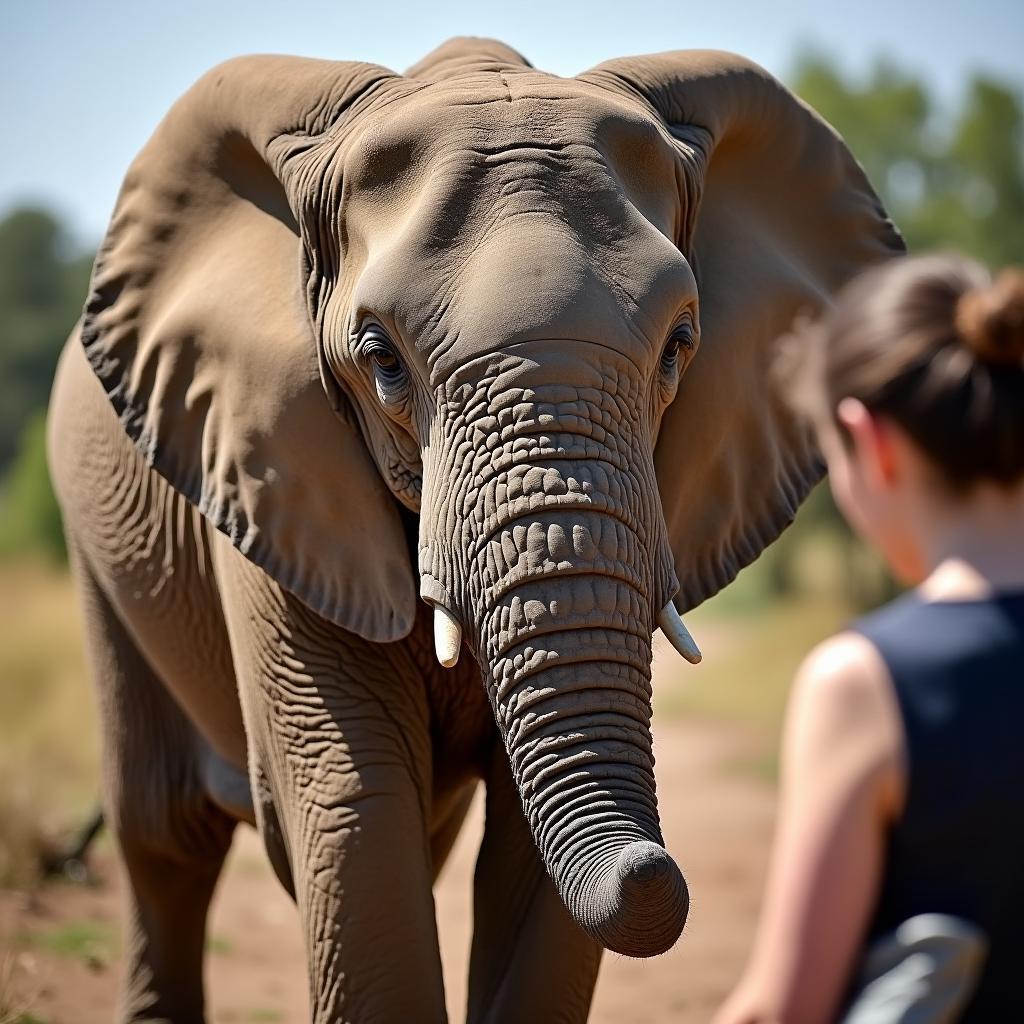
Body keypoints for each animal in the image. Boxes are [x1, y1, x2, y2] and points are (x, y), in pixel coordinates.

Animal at [46, 36, 897, 1019]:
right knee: (164, 839)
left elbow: (525, 852)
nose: (655, 870)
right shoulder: (268, 459)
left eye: (681, 346)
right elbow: (357, 805)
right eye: (381, 360)